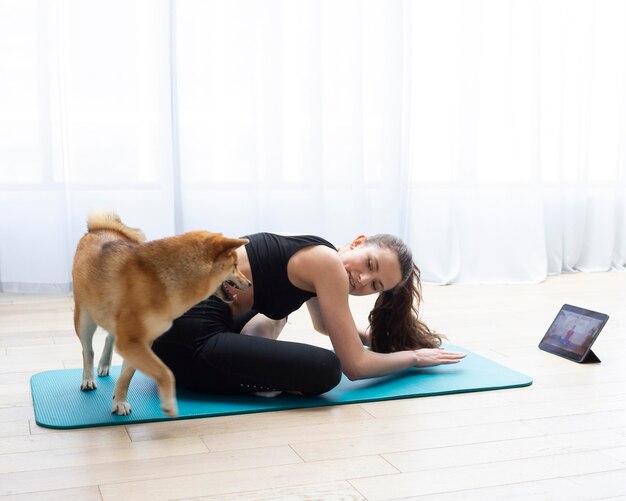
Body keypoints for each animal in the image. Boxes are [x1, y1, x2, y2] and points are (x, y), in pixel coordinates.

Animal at [72, 211, 250, 418]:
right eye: (235, 265)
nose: (249, 283)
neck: (162, 280)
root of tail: (99, 229)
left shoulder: (140, 342)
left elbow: (126, 376)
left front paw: (119, 401)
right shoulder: (132, 342)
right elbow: (165, 372)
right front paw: (169, 404)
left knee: (109, 337)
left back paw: (105, 364)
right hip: (85, 318)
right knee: (87, 351)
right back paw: (88, 378)